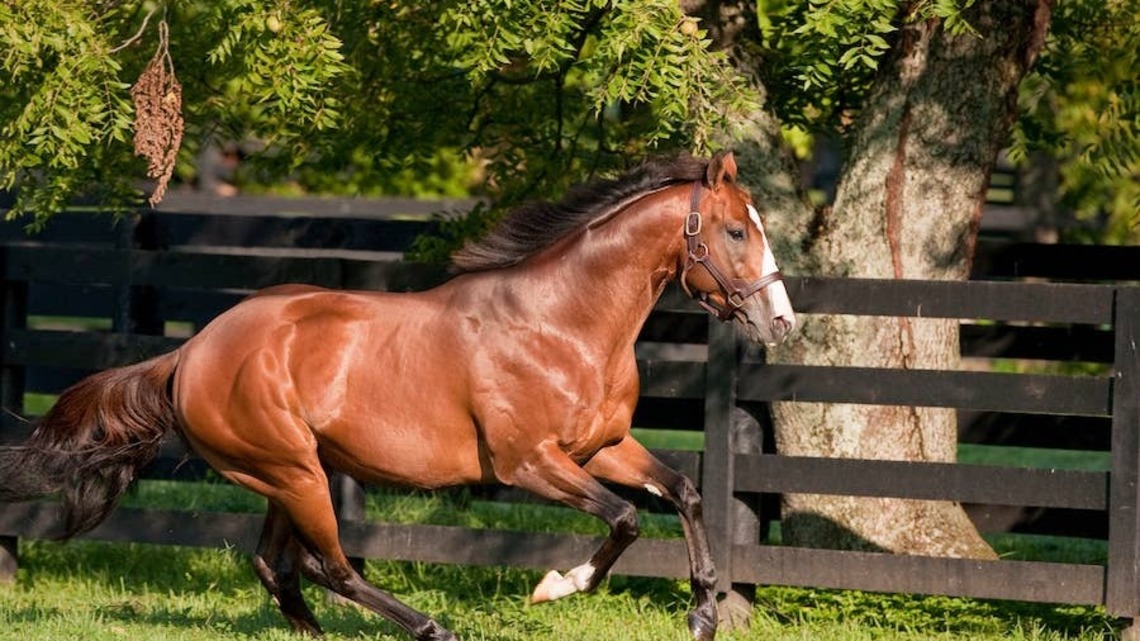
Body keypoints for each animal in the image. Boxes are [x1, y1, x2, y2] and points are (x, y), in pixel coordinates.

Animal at [0, 151, 794, 641]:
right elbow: (626, 518)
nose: (780, 321)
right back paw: (433, 627)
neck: (559, 321)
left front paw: (702, 615)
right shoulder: (528, 464)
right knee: (329, 566)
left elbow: (684, 492)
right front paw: (554, 585)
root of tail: (190, 351)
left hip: (287, 475)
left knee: (276, 566)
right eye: (734, 230)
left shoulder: (601, 447)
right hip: (295, 473)